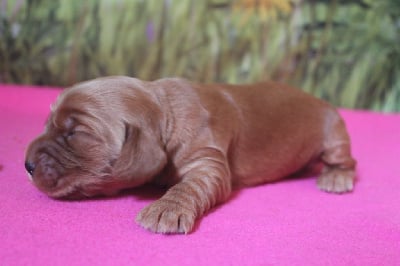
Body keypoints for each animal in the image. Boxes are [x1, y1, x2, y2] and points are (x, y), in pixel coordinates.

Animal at [24, 76, 356, 234]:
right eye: (49, 123)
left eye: (75, 133)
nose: (26, 164)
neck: (164, 109)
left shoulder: (207, 158)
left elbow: (192, 184)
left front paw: (165, 209)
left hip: (334, 133)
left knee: (345, 160)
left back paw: (336, 177)